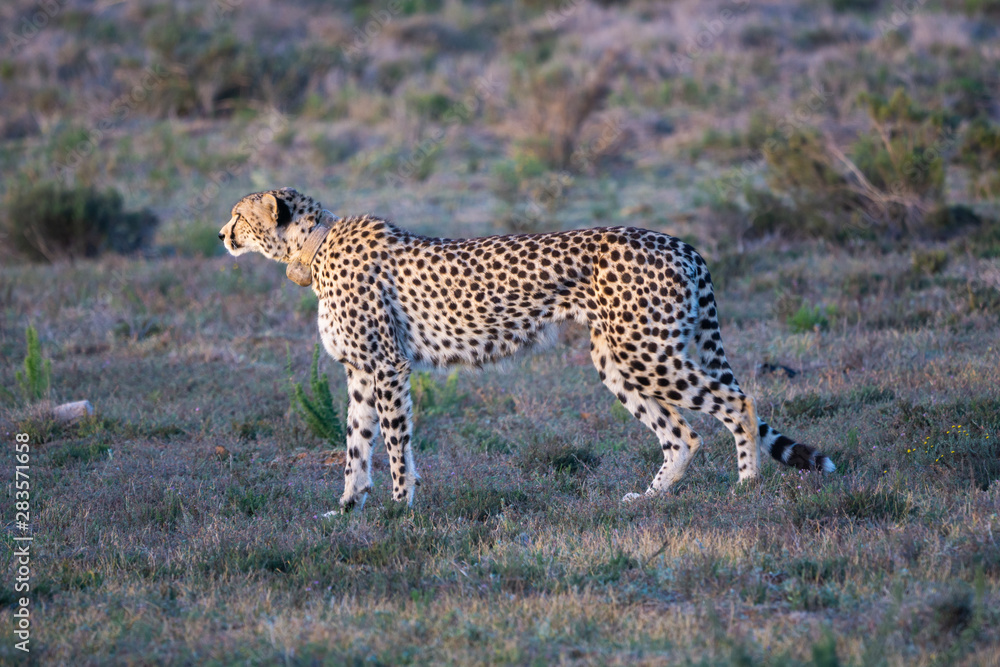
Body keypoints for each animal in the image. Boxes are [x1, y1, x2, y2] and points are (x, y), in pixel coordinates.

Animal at [221, 190, 836, 516]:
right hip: (619, 360)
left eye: (240, 214)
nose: (222, 235)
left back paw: (747, 486)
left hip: (646, 350)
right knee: (682, 433)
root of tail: (678, 241)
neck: (313, 246)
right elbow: (355, 446)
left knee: (738, 402)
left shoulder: (387, 367)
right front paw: (348, 510)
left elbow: (395, 443)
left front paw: (401, 507)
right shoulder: (359, 373)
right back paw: (646, 499)